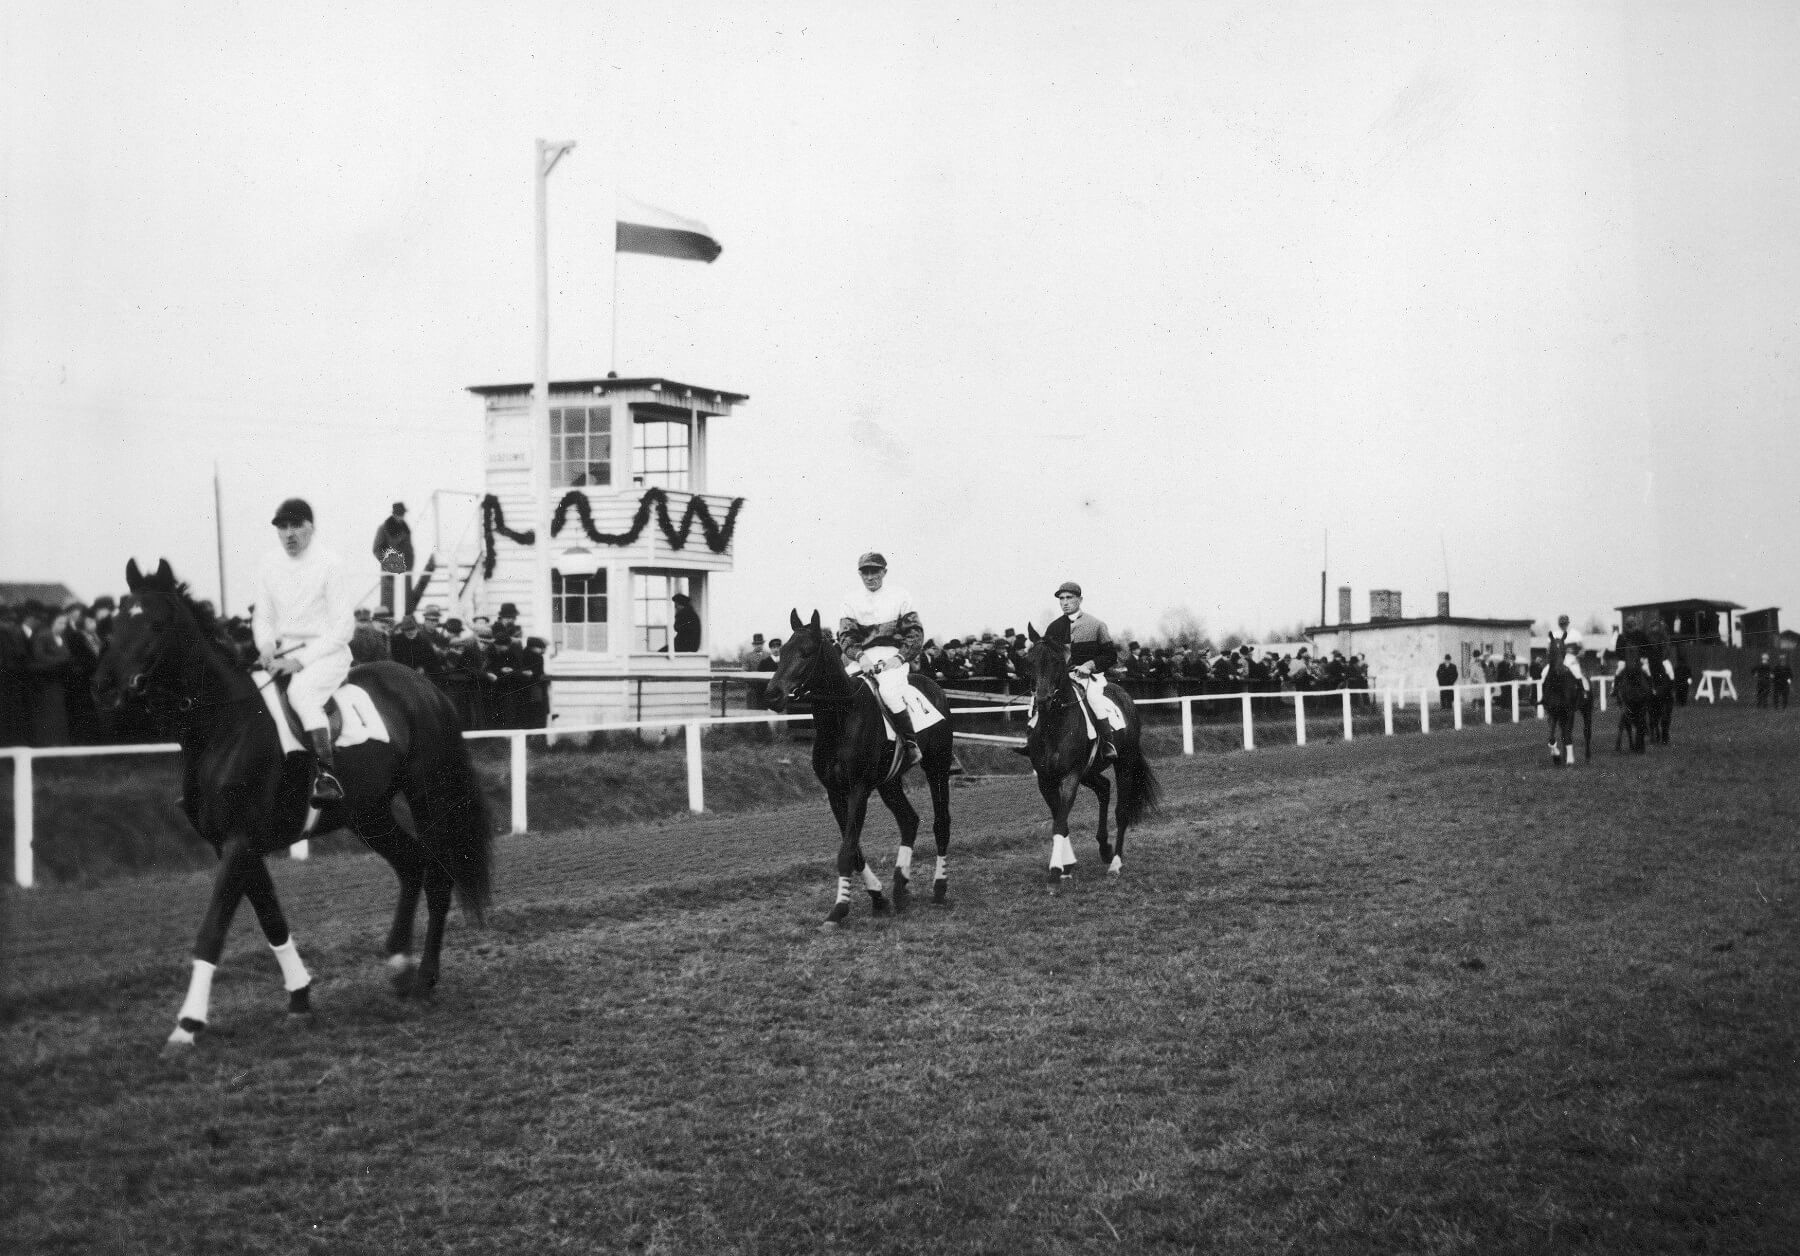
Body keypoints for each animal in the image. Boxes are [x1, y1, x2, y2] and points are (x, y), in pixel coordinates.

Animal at [93, 561, 493, 1043]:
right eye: (115, 623)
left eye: (154, 623)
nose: (104, 687)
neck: (225, 724)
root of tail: (425, 687)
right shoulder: (233, 846)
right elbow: (272, 921)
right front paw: (300, 998)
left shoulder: (240, 842)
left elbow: (212, 931)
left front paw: (187, 1025)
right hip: (368, 814)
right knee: (412, 865)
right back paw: (399, 964)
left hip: (429, 797)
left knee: (438, 877)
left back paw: (425, 978)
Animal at [763, 608, 957, 921]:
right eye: (782, 653)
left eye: (806, 653)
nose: (772, 694)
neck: (842, 719)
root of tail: (934, 686)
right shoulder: (835, 792)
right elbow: (853, 850)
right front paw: (878, 896)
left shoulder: (859, 790)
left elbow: (847, 850)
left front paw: (839, 907)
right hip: (890, 782)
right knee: (909, 820)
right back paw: (900, 886)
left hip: (936, 767)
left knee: (941, 824)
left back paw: (939, 888)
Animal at [1022, 622, 1159, 881]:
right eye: (1030, 660)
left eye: (1057, 661)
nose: (1043, 700)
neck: (1054, 726)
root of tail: (1124, 695)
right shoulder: (1046, 780)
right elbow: (1060, 819)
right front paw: (1067, 864)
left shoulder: (1071, 776)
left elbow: (1060, 822)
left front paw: (1056, 869)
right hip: (1089, 771)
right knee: (1104, 788)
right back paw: (1104, 848)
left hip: (1123, 763)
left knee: (1121, 811)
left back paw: (1115, 862)